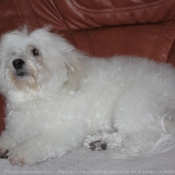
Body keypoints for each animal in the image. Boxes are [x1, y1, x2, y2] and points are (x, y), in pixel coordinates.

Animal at [0, 27, 175, 165]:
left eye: (35, 51)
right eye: (13, 53)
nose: (17, 62)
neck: (36, 98)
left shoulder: (63, 132)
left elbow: (37, 144)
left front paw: (20, 153)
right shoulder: (17, 129)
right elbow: (8, 136)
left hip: (133, 104)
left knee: (144, 138)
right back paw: (100, 142)